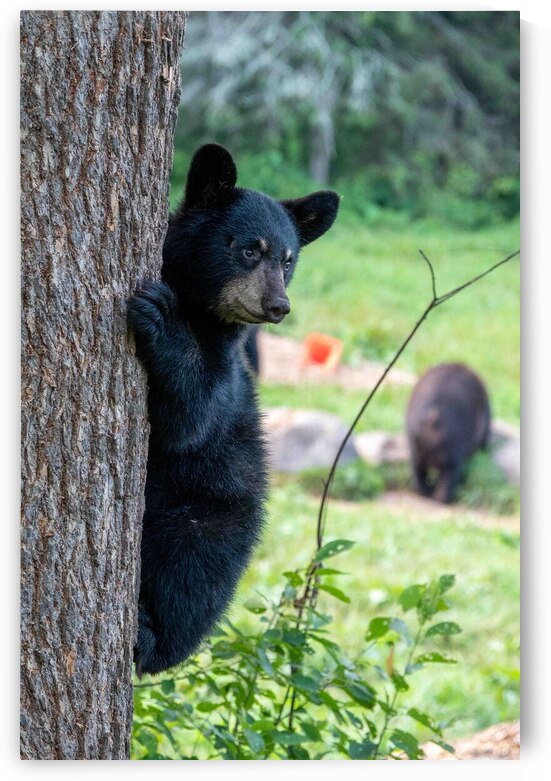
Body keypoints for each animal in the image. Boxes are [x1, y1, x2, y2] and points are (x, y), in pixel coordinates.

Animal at [127, 143, 339, 675]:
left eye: (288, 259)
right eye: (249, 249)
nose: (279, 306)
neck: (201, 312)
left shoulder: (225, 371)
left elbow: (189, 419)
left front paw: (159, 316)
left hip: (212, 516)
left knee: (189, 574)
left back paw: (150, 635)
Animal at [405, 363, 491, 504]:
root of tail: (433, 418)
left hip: (416, 453)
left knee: (419, 474)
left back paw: (426, 493)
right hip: (452, 456)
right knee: (448, 478)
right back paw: (443, 498)